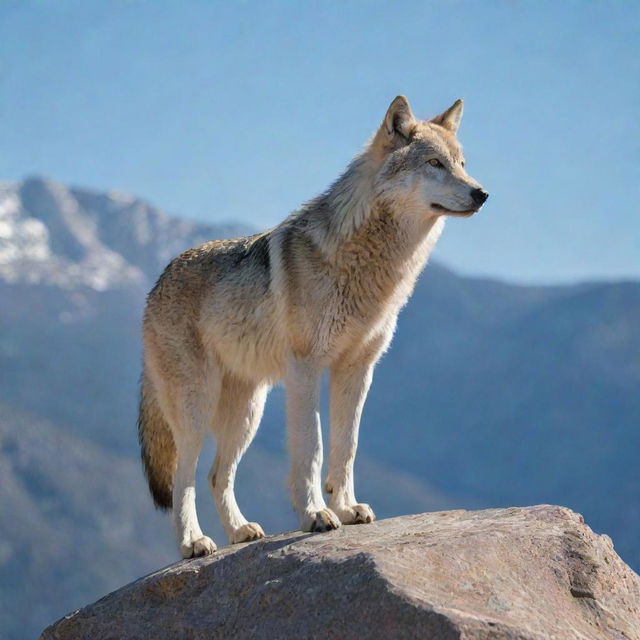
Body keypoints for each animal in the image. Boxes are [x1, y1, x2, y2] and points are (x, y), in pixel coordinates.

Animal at [139, 94, 490, 556]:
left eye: (462, 164)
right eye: (434, 163)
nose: (482, 193)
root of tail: (156, 283)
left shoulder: (357, 369)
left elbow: (346, 445)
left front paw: (347, 508)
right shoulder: (305, 369)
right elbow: (313, 447)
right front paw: (315, 515)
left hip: (247, 412)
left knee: (217, 475)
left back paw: (241, 531)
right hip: (198, 407)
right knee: (185, 478)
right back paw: (194, 542)